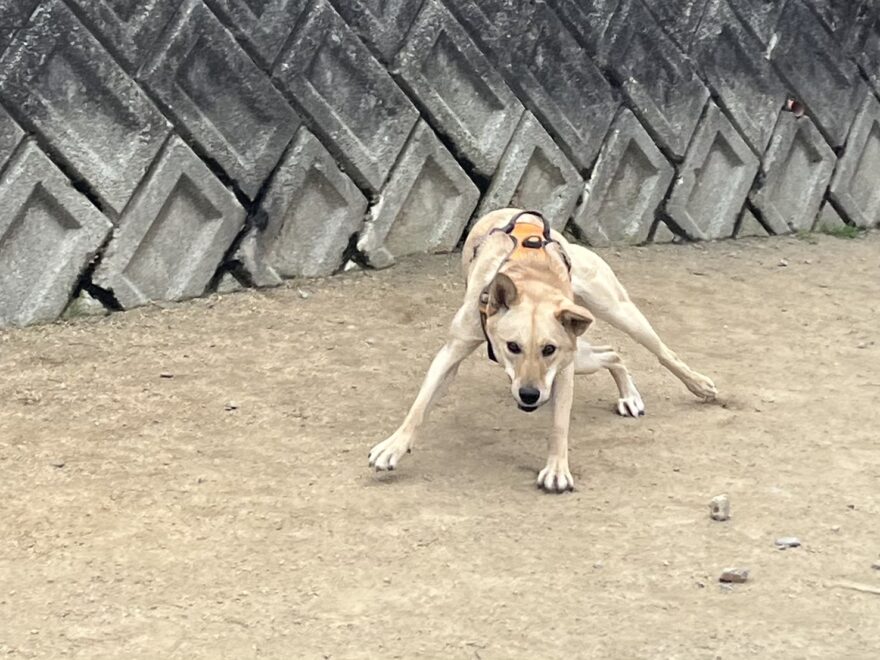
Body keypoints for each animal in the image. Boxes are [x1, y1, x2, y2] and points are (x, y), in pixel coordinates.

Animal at [368, 208, 717, 492]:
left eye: (549, 349)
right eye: (512, 346)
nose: (529, 395)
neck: (531, 278)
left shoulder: (561, 369)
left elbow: (559, 424)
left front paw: (557, 470)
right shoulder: (452, 352)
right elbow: (419, 405)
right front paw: (393, 447)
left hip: (615, 314)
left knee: (661, 352)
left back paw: (697, 385)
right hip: (583, 352)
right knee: (612, 353)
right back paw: (629, 396)